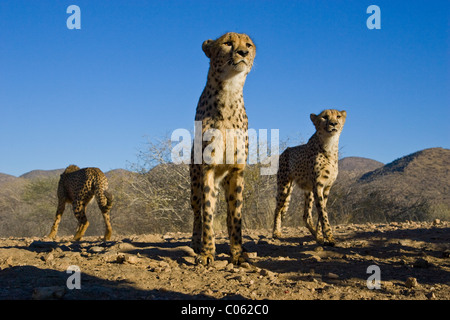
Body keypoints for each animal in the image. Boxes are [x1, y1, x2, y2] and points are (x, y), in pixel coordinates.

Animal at [188, 31, 255, 264]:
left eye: (248, 44)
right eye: (227, 43)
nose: (242, 53)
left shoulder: (237, 169)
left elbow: (236, 216)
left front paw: (237, 253)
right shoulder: (207, 169)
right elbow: (207, 214)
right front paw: (208, 253)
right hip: (195, 184)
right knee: (197, 212)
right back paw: (196, 243)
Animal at [270, 109, 348, 246]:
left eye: (338, 116)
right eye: (324, 117)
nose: (333, 123)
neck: (329, 144)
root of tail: (285, 151)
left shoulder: (326, 187)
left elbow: (321, 213)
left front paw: (321, 236)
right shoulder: (318, 185)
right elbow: (323, 213)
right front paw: (329, 237)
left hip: (308, 191)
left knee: (306, 215)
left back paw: (316, 236)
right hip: (284, 186)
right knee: (277, 209)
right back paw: (276, 232)